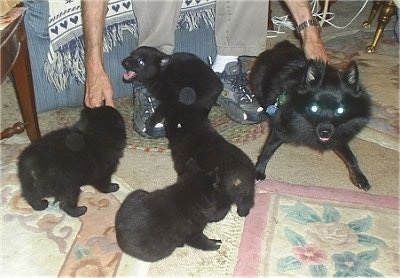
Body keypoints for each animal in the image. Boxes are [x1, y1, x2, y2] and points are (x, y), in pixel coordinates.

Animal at [250, 39, 372, 191]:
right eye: (314, 108)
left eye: (340, 111)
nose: (325, 132)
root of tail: (283, 45)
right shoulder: (280, 129)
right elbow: (267, 151)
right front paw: (258, 172)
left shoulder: (336, 136)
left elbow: (351, 157)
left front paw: (359, 177)